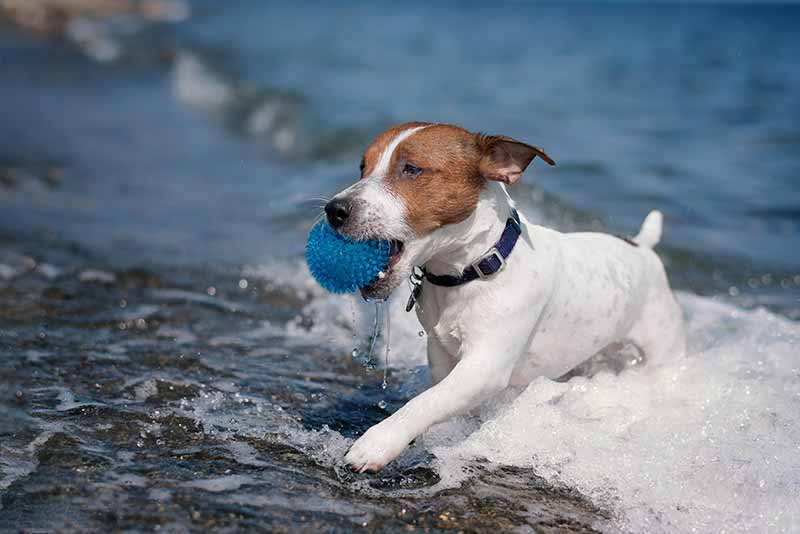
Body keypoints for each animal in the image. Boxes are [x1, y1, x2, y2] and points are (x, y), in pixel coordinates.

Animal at [322, 122, 684, 474]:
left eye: (411, 169)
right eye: (362, 167)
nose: (334, 209)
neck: (473, 269)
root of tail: (642, 246)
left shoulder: (484, 368)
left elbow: (426, 402)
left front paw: (377, 443)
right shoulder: (441, 357)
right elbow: (437, 398)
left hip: (662, 347)